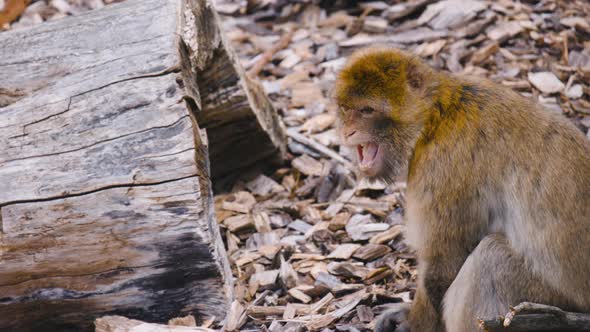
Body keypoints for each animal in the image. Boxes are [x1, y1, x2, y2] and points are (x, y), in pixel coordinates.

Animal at [336, 47, 590, 332]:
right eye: (346, 108)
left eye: (367, 110)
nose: (347, 131)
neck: (435, 116)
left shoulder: (440, 165)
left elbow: (443, 263)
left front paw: (413, 323)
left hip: (548, 298)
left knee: (491, 260)